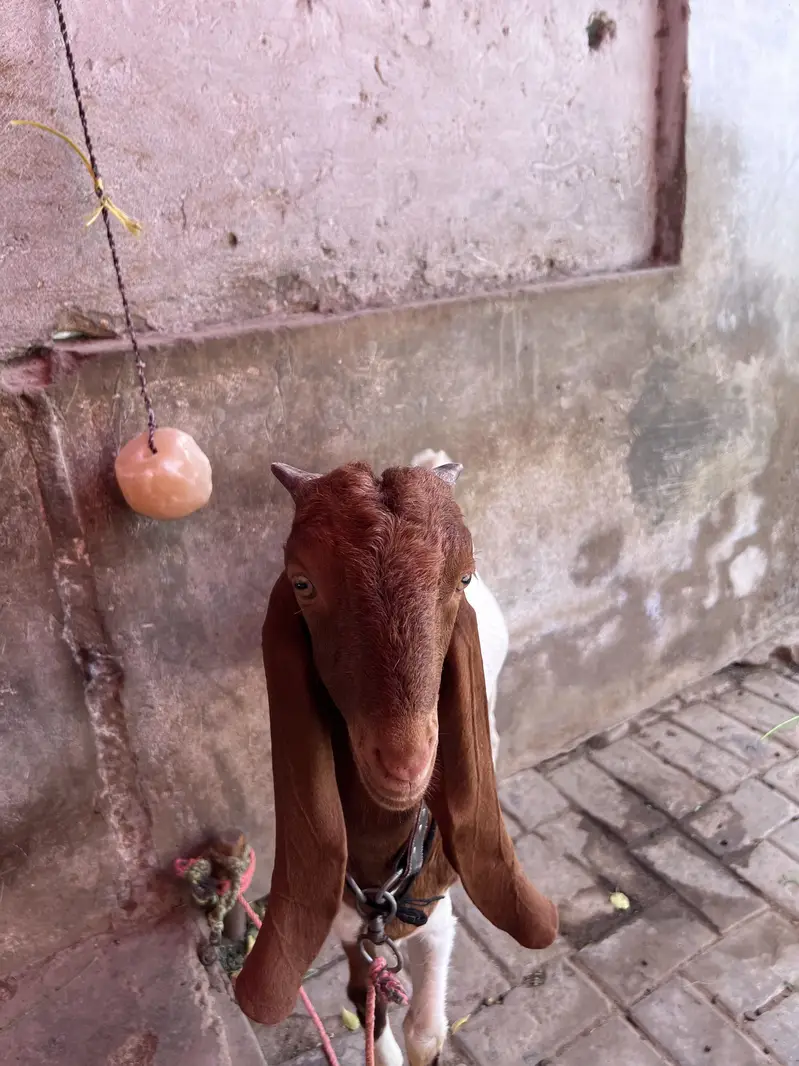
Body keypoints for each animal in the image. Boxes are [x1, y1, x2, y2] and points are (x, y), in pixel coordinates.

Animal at [235, 456, 558, 1066]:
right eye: (303, 583)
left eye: (463, 578)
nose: (406, 762)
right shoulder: (350, 931)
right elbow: (367, 1004)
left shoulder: (436, 918)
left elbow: (426, 1031)